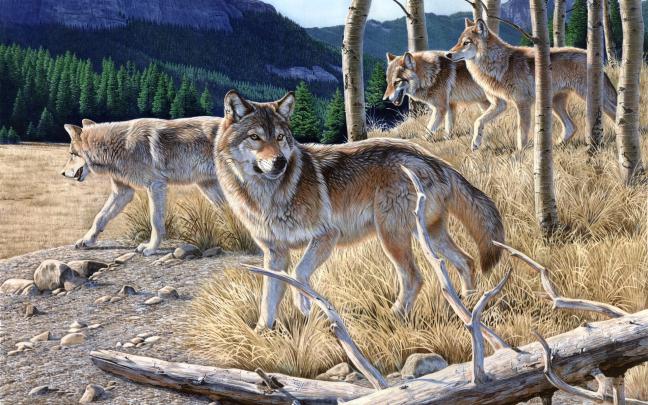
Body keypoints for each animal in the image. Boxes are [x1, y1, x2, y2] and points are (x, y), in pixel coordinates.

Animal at [60, 116, 224, 256]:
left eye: (71, 154)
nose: (62, 173)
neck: (120, 146)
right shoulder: (123, 192)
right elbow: (100, 217)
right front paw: (87, 241)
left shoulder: (155, 185)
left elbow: (155, 221)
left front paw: (151, 248)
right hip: (207, 186)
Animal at [215, 90, 505, 331]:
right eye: (255, 137)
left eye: (280, 137)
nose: (280, 162)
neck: (268, 196)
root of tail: (433, 159)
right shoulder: (275, 253)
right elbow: (269, 298)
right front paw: (261, 332)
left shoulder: (326, 236)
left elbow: (298, 274)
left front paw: (305, 306)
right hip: (429, 236)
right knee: (466, 261)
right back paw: (468, 306)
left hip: (392, 237)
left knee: (415, 277)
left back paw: (395, 315)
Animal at [447, 18, 617, 151]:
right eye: (458, 42)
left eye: (466, 43)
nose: (448, 54)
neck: (499, 64)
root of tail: (592, 57)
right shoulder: (499, 104)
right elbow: (478, 121)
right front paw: (475, 143)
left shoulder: (522, 103)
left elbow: (521, 134)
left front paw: (519, 156)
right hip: (555, 103)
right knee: (571, 127)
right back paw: (554, 146)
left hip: (592, 97)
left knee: (616, 113)